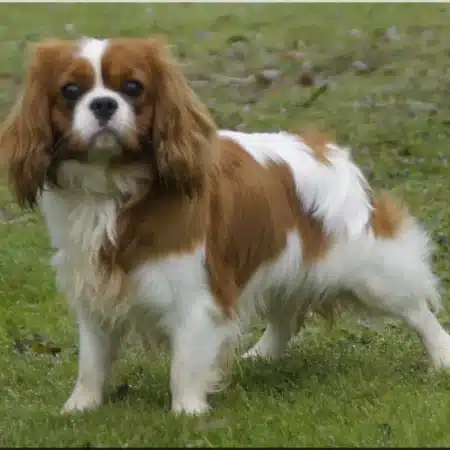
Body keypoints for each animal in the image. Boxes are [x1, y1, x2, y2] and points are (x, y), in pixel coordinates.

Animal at [1, 36, 448, 414]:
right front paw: (80, 408)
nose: (103, 105)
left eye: (132, 87)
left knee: (418, 310)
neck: (114, 189)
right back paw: (261, 356)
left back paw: (441, 358)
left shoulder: (194, 296)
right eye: (70, 91)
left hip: (372, 273)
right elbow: (92, 361)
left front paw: (187, 414)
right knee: (286, 314)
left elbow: (185, 362)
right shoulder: (95, 291)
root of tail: (326, 149)